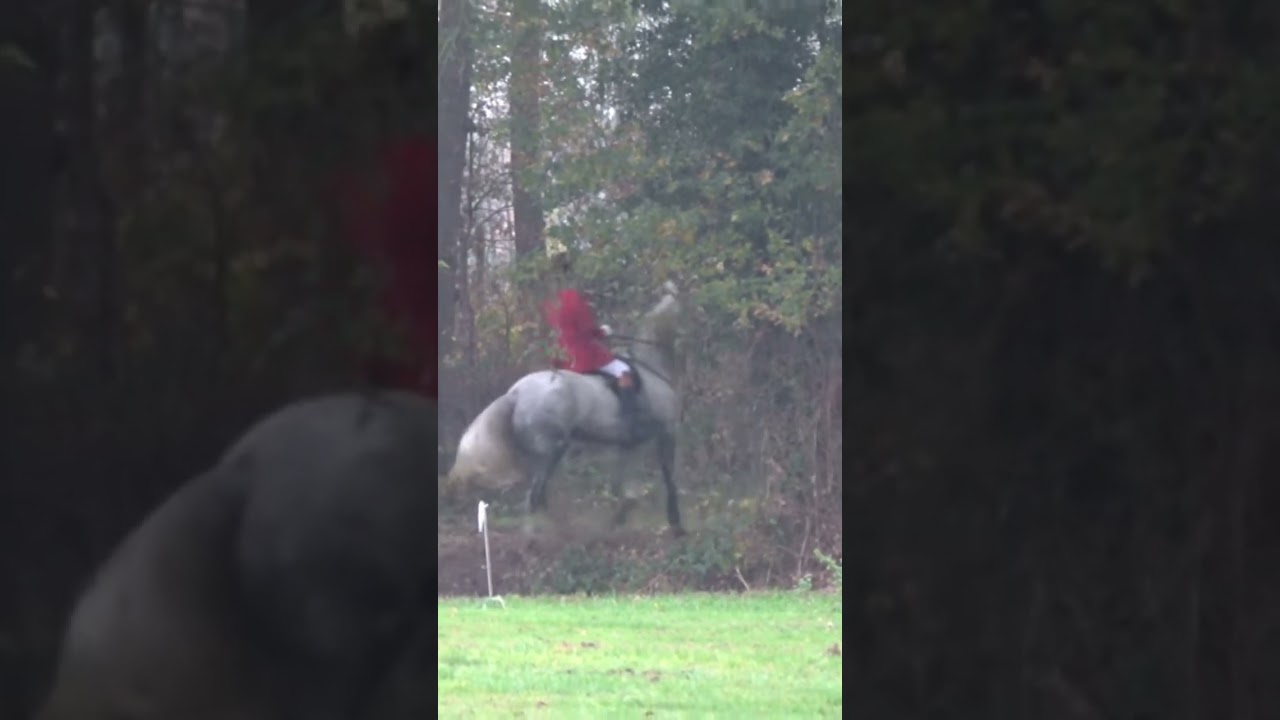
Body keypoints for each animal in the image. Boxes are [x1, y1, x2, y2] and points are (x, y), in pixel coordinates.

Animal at [447, 282, 685, 536]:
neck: (651, 367)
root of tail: (516, 392)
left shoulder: (630, 445)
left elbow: (629, 488)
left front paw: (620, 518)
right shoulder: (667, 432)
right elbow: (669, 477)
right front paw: (676, 524)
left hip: (539, 454)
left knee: (536, 495)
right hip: (553, 449)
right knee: (535, 495)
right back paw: (542, 533)